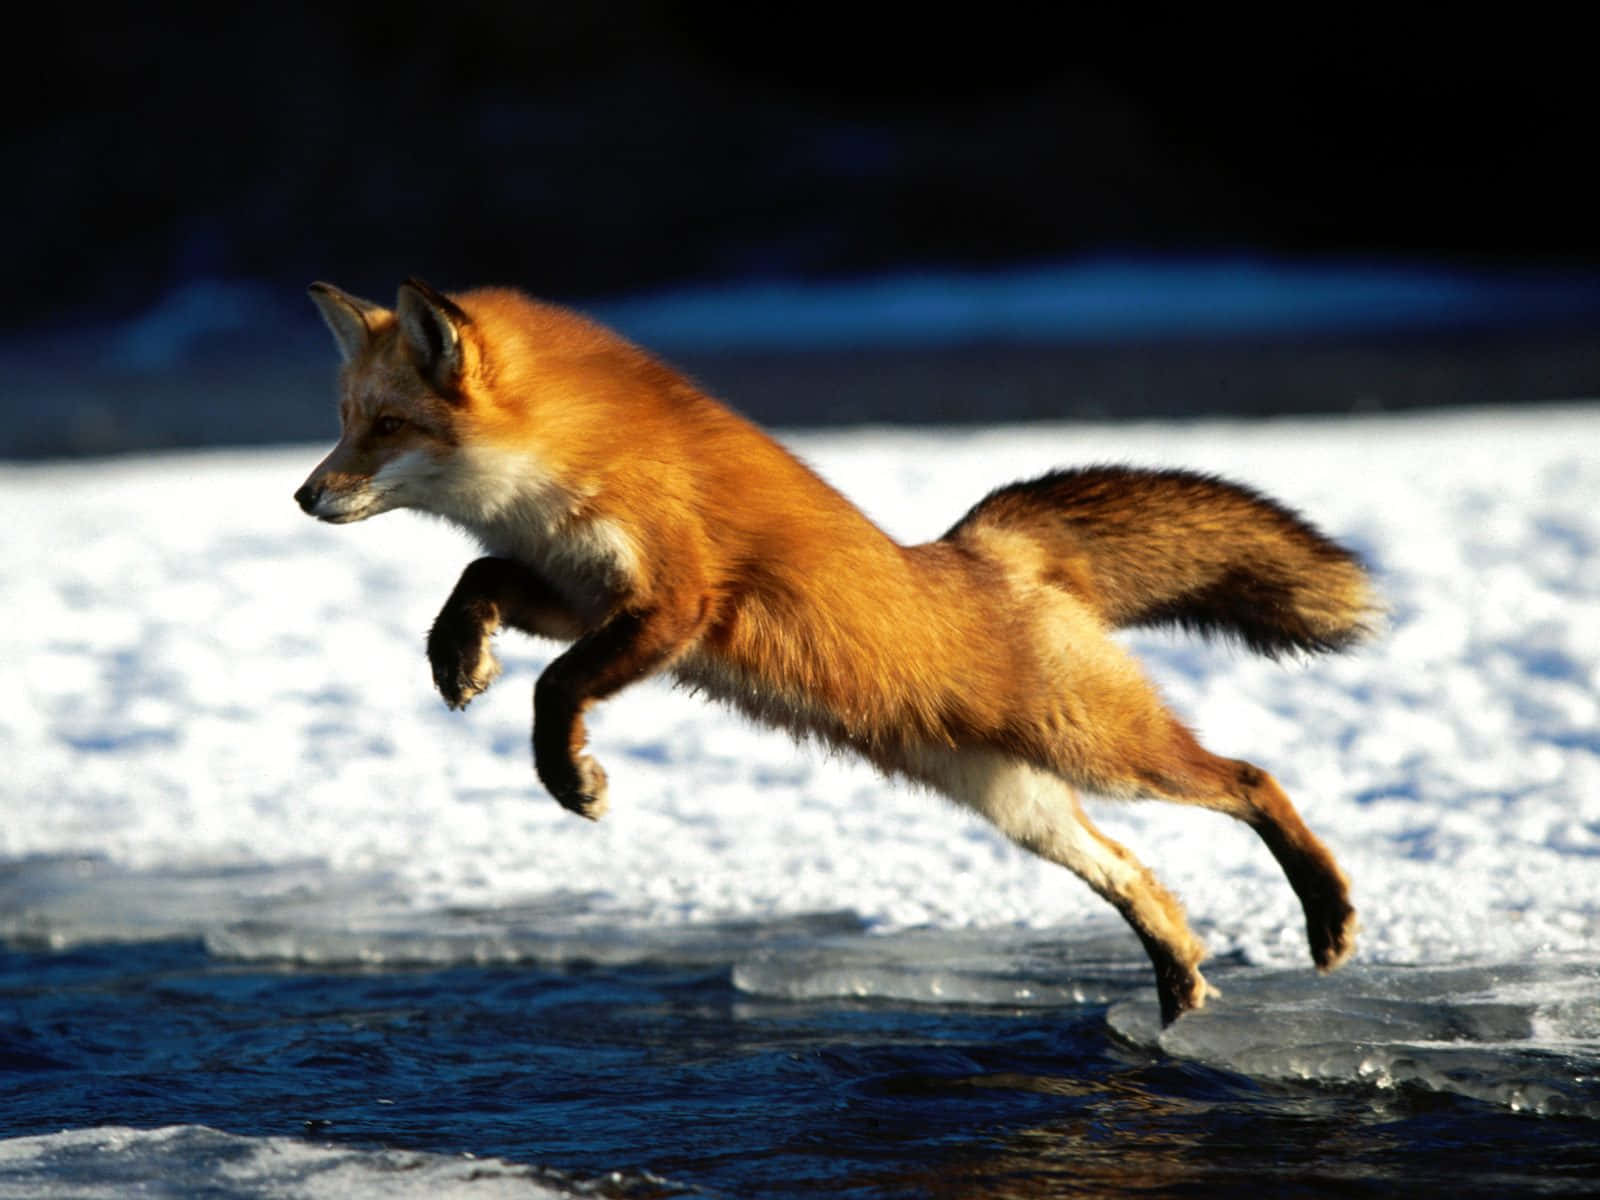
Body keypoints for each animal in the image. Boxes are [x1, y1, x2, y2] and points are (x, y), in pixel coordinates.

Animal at [295, 278, 1375, 1025]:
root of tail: (987, 550)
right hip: (1020, 803)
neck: (567, 466)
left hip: (1103, 751)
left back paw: (1325, 914)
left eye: (387, 426)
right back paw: (1180, 988)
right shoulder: (574, 591)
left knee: (1251, 779)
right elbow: (475, 578)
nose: (303, 496)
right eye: (343, 422)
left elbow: (555, 689)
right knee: (1139, 879)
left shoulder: (675, 601)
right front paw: (456, 658)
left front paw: (571, 779)